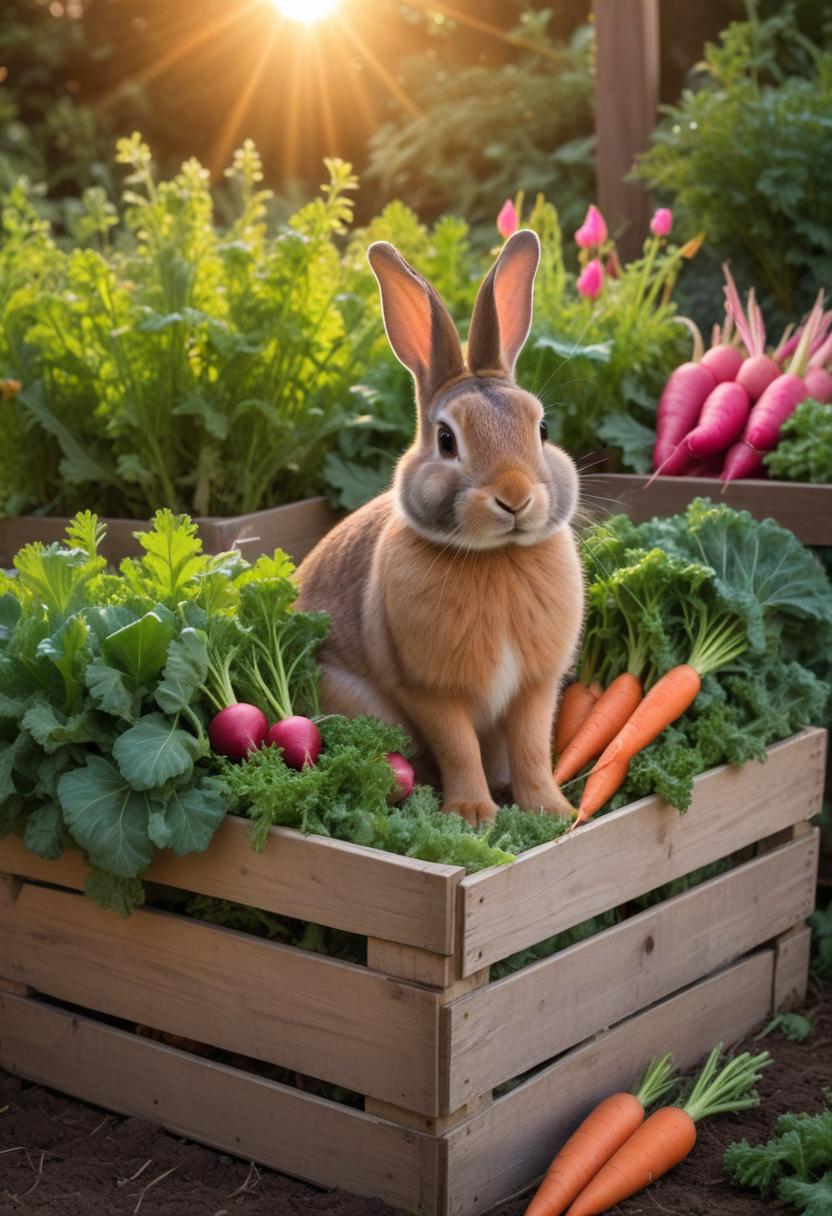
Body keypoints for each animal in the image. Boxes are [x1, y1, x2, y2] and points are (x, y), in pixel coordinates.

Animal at [296, 229, 584, 826]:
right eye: (447, 440)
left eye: (542, 428)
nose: (516, 497)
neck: (496, 556)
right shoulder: (430, 690)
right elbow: (457, 747)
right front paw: (473, 816)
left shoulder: (535, 687)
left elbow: (532, 746)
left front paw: (551, 812)